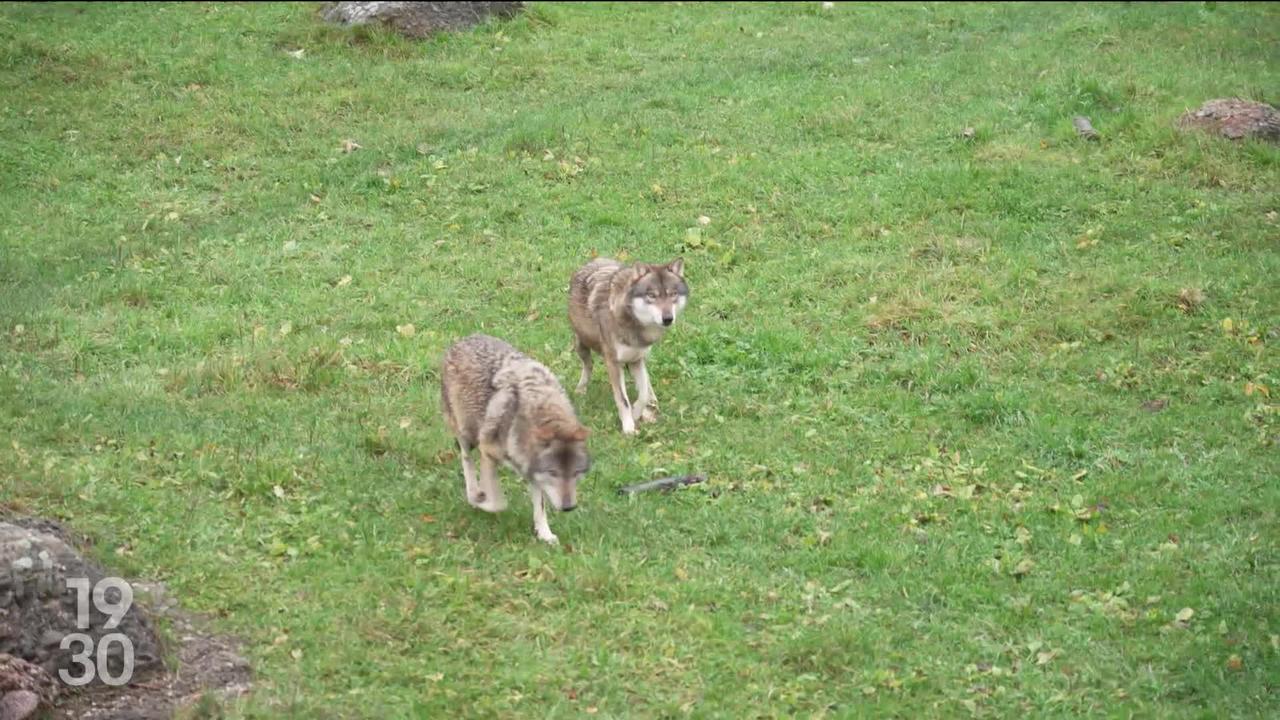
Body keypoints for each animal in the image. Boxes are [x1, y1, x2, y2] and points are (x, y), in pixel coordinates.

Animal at [437, 333, 591, 540]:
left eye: (575, 473)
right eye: (553, 473)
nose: (569, 507)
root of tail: (464, 339)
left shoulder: (532, 471)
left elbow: (540, 507)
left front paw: (545, 534)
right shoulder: (487, 452)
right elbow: (497, 503)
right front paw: (482, 502)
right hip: (466, 435)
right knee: (466, 459)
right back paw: (473, 494)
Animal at [570, 254, 691, 435]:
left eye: (673, 294)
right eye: (652, 295)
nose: (668, 318)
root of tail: (595, 259)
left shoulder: (636, 360)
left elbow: (643, 395)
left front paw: (636, 413)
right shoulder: (613, 363)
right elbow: (623, 399)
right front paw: (628, 427)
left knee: (648, 386)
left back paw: (653, 404)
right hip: (582, 345)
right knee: (588, 365)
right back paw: (581, 389)